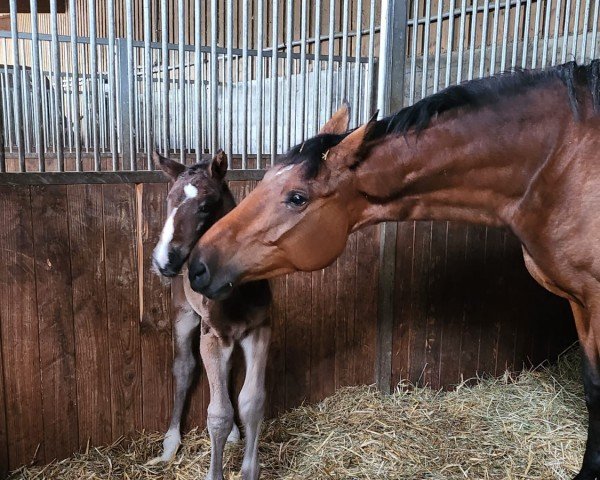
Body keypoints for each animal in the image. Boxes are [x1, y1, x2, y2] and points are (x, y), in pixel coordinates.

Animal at [146, 152, 270, 480]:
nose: (164, 260)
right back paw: (170, 443)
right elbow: (218, 414)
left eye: (205, 205)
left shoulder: (260, 330)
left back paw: (234, 435)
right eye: (169, 200)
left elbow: (252, 402)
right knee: (184, 368)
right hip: (185, 316)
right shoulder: (211, 335)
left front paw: (249, 470)